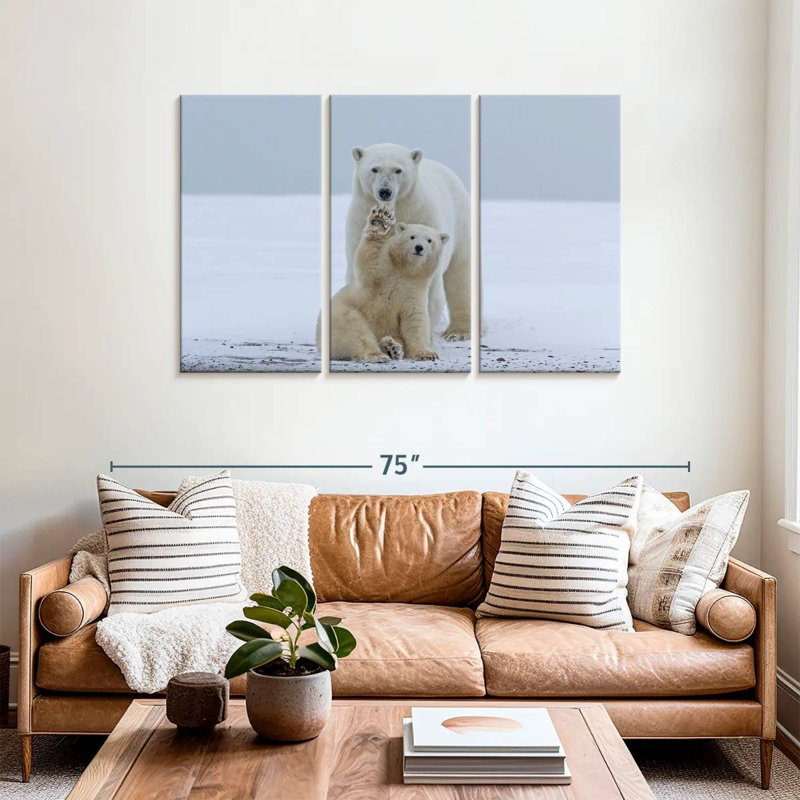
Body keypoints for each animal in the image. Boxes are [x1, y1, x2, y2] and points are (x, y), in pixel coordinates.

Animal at [322, 206, 449, 363]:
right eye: (412, 237)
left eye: (429, 240)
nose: (419, 247)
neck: (404, 271)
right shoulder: (382, 274)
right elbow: (368, 262)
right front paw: (380, 221)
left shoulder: (414, 290)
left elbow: (415, 320)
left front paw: (427, 353)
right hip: (341, 313)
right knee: (354, 329)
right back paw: (377, 354)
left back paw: (392, 348)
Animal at [345, 143, 470, 341]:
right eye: (374, 169)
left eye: (398, 170)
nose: (385, 192)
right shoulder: (359, 222)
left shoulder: (421, 215)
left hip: (461, 224)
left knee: (459, 275)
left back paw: (458, 332)